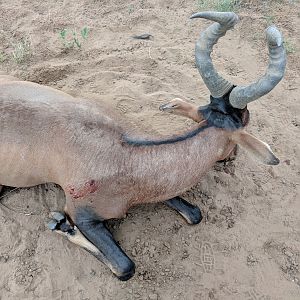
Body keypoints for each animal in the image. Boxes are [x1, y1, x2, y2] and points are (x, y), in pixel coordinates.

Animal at [0, 10, 286, 280]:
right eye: (244, 124)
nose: (231, 158)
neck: (123, 151)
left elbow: (193, 213)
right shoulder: (82, 213)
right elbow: (125, 267)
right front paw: (59, 223)